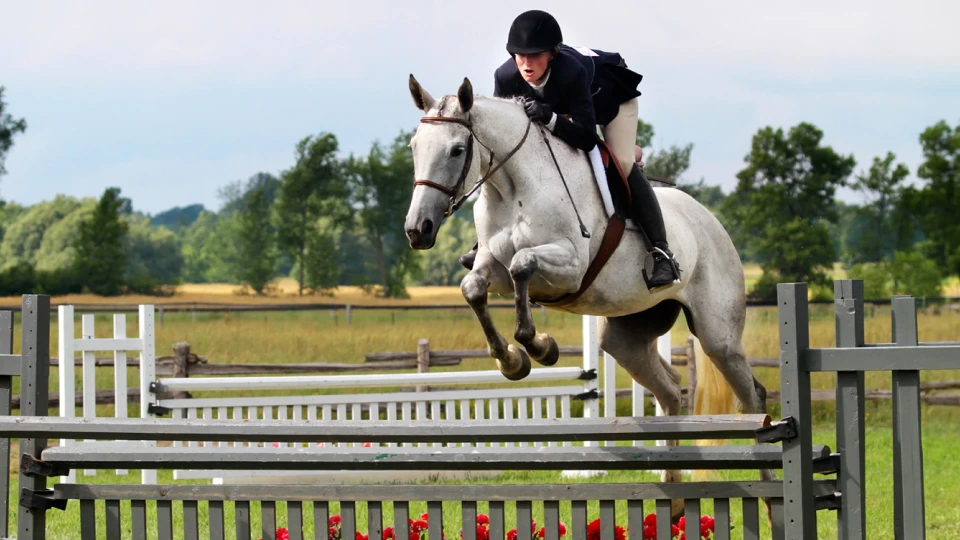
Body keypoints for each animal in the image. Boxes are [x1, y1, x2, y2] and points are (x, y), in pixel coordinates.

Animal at [404, 77, 772, 516]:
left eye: (457, 149)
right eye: (414, 146)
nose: (417, 230)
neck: (513, 186)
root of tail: (712, 221)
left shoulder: (570, 263)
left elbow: (523, 265)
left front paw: (539, 347)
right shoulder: (491, 266)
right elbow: (473, 288)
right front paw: (511, 361)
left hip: (719, 336)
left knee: (752, 397)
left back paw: (771, 497)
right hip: (625, 336)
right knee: (668, 388)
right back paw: (675, 498)